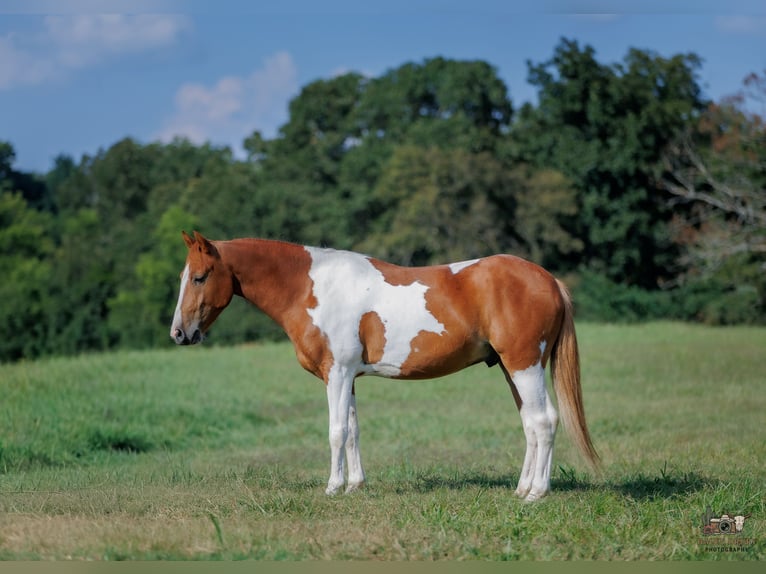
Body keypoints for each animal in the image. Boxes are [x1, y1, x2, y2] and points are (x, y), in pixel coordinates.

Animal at [170, 230, 599, 501]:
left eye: (200, 277)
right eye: (184, 277)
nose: (179, 333)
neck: (311, 287)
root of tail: (548, 280)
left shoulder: (337, 373)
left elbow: (337, 432)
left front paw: (332, 488)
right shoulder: (347, 377)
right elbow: (354, 431)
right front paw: (355, 486)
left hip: (524, 366)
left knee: (543, 421)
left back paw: (537, 494)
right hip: (514, 369)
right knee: (531, 424)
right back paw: (523, 489)